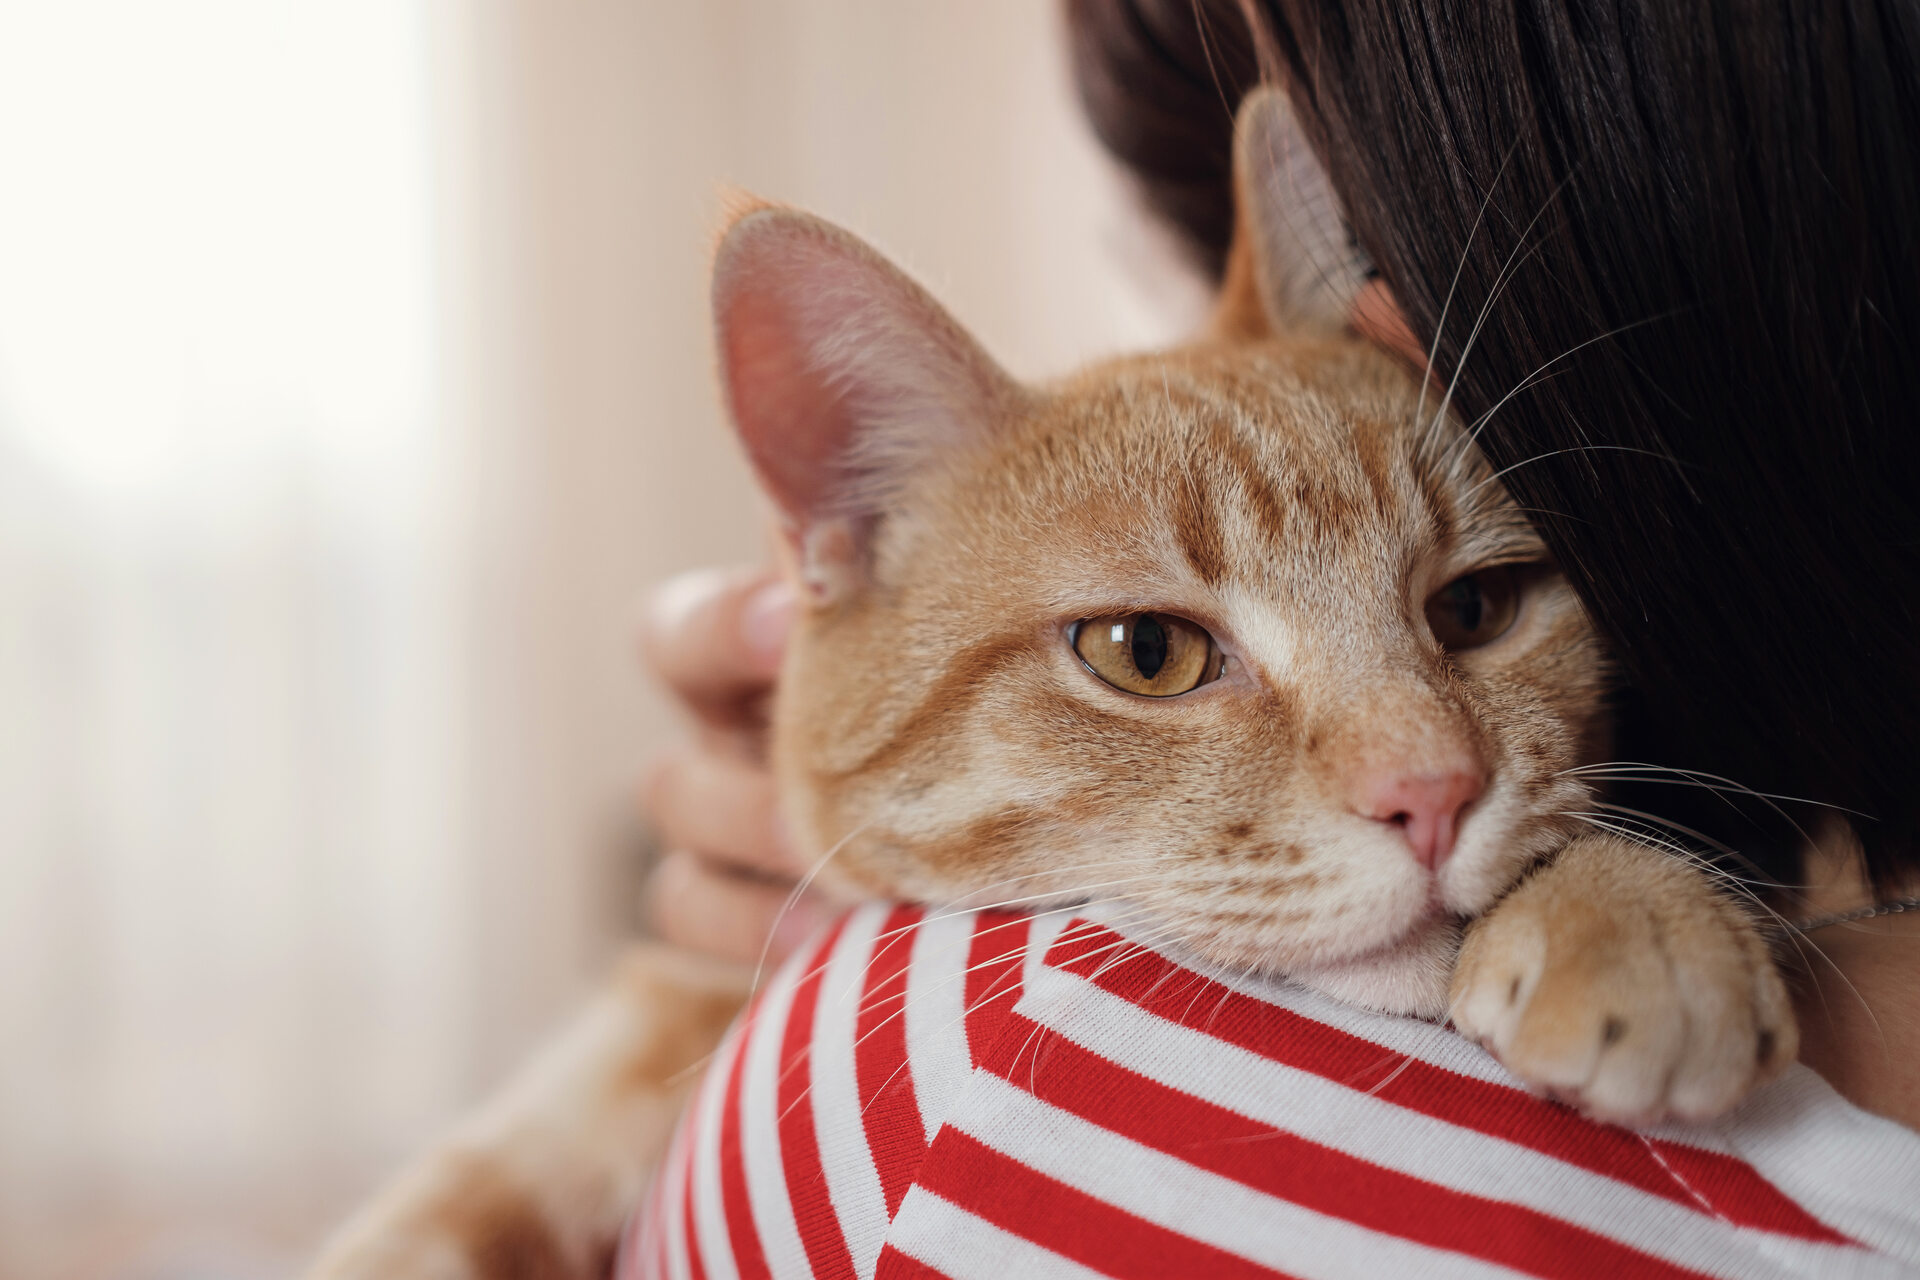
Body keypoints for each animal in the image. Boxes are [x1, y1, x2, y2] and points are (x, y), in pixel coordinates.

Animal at [307, 90, 1789, 1280]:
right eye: (1147, 653)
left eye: (1474, 608)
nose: (1433, 792)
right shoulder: (658, 1004)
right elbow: (461, 1194)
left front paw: (1638, 912)